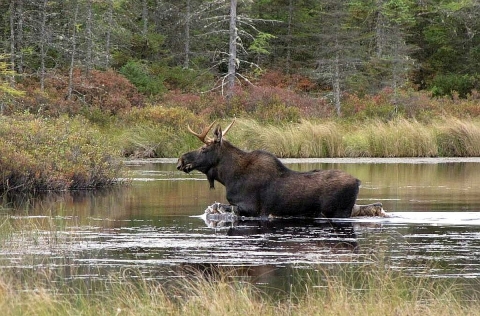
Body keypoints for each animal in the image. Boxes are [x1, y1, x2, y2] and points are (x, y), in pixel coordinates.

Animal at [177, 119, 386, 218]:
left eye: (204, 148)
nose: (181, 159)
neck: (228, 177)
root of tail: (358, 181)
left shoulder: (251, 209)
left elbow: (219, 208)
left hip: (338, 211)